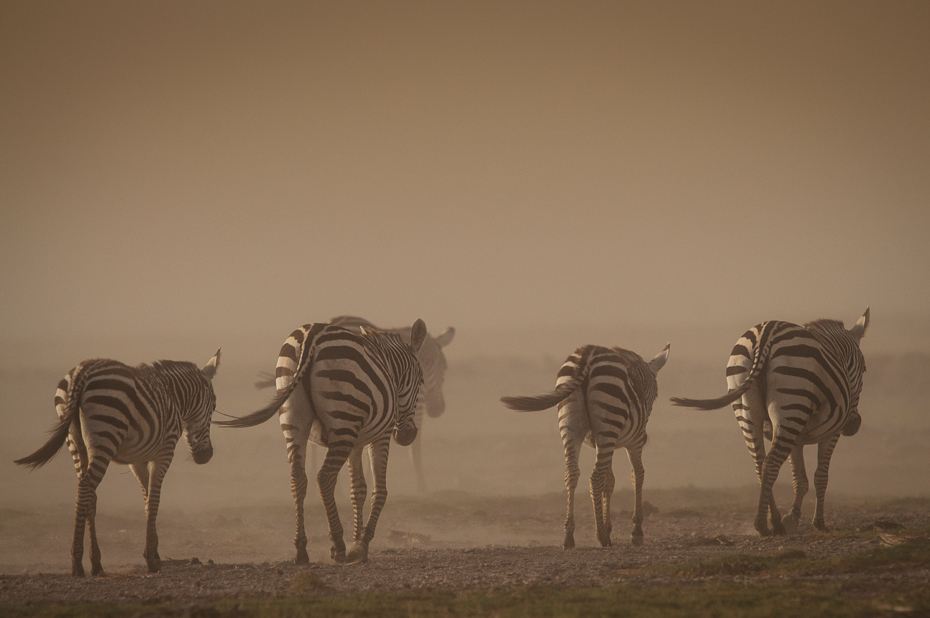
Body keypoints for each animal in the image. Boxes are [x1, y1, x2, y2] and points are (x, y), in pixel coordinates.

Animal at [13, 348, 220, 576]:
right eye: (214, 405)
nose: (207, 456)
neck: (174, 398)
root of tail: (82, 371)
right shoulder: (164, 452)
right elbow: (154, 501)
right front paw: (152, 560)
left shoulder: (138, 461)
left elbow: (147, 500)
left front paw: (154, 552)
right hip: (106, 434)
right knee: (86, 487)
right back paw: (77, 563)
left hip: (74, 440)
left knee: (88, 494)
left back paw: (96, 563)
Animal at [216, 320, 426, 560]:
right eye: (421, 380)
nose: (407, 436)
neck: (390, 369)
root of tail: (312, 335)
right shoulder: (378, 436)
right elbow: (378, 490)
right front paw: (361, 544)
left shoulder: (356, 441)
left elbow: (358, 490)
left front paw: (356, 541)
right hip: (344, 418)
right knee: (324, 478)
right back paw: (338, 544)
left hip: (294, 418)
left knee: (298, 478)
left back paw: (301, 549)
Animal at [500, 342, 668, 548]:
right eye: (656, 395)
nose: (646, 438)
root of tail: (587, 356)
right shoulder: (634, 441)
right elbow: (637, 475)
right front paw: (636, 531)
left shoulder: (605, 443)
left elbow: (610, 481)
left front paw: (608, 526)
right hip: (608, 422)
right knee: (595, 477)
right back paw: (601, 536)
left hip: (571, 424)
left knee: (572, 473)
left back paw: (569, 536)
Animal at [672, 308, 868, 536]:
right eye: (864, 368)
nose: (853, 426)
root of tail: (765, 334)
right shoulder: (831, 433)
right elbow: (820, 476)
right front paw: (818, 523)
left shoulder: (795, 438)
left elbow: (800, 480)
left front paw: (792, 518)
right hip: (791, 403)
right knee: (772, 462)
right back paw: (764, 525)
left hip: (749, 409)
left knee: (761, 464)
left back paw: (774, 521)